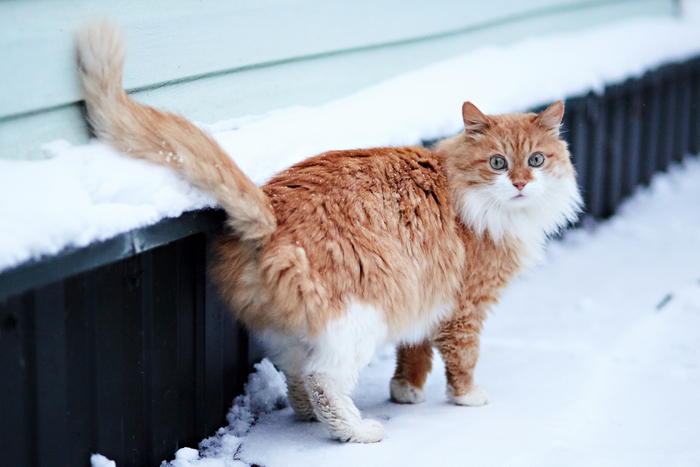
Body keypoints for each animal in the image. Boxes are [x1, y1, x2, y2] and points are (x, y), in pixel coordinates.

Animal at [76, 22, 582, 443]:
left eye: (536, 160)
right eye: (498, 162)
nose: (521, 183)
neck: (462, 191)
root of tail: (271, 210)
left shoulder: (427, 299)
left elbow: (413, 353)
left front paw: (406, 391)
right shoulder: (464, 306)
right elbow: (462, 359)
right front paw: (467, 397)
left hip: (300, 329)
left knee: (298, 378)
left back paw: (306, 419)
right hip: (360, 315)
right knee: (324, 381)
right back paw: (356, 431)